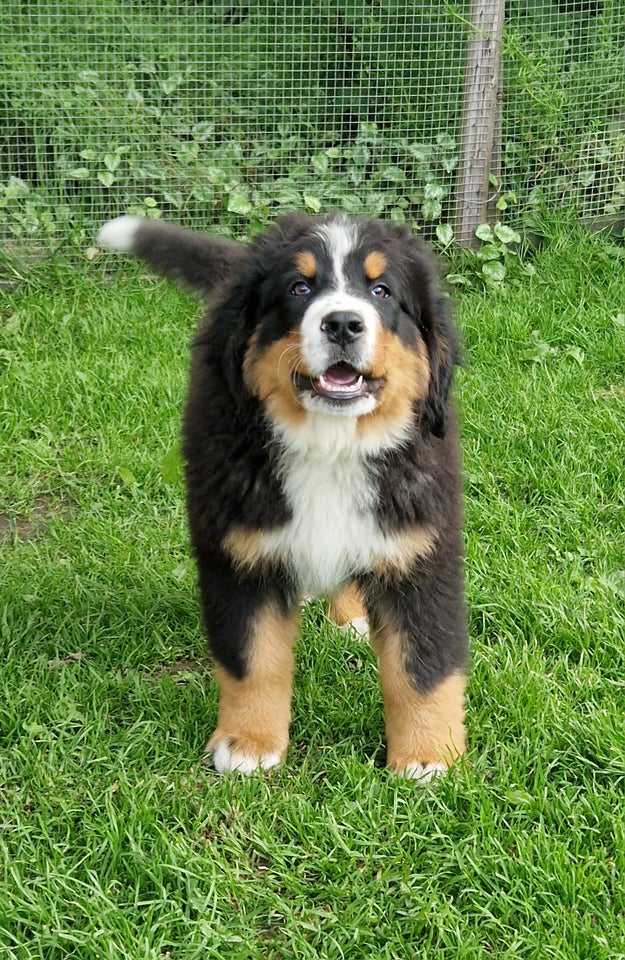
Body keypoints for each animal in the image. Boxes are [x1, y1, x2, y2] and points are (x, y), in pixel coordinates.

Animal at [98, 212, 468, 780]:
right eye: (299, 288)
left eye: (381, 291)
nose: (343, 323)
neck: (330, 447)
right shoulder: (240, 551)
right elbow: (255, 659)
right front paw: (249, 743)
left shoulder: (418, 550)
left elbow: (421, 667)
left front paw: (426, 757)